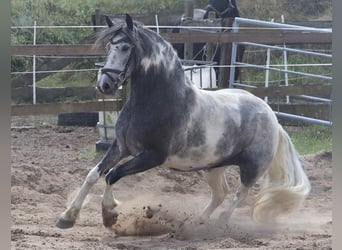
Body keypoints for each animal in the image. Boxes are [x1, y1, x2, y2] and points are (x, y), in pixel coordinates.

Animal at [56, 13, 312, 229]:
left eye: (126, 47)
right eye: (109, 46)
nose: (104, 85)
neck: (155, 101)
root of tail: (272, 118)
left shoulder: (152, 156)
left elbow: (112, 175)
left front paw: (109, 215)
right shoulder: (121, 147)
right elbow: (93, 174)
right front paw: (67, 218)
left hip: (252, 166)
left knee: (241, 193)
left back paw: (219, 223)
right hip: (213, 166)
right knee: (221, 192)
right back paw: (199, 221)